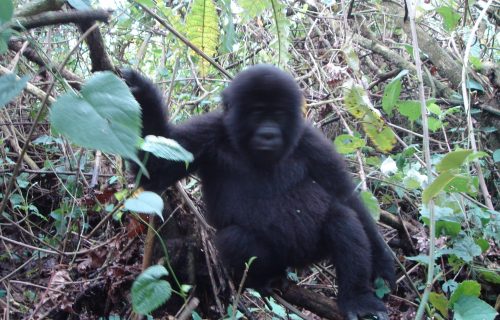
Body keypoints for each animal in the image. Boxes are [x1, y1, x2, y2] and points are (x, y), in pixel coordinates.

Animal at [122, 65, 394, 320]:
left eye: (278, 114)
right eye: (256, 113)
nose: (268, 134)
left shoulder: (311, 140)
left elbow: (343, 194)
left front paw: (382, 262)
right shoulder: (208, 131)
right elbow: (155, 170)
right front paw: (141, 93)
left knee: (343, 219)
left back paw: (357, 298)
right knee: (236, 239)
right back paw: (266, 278)